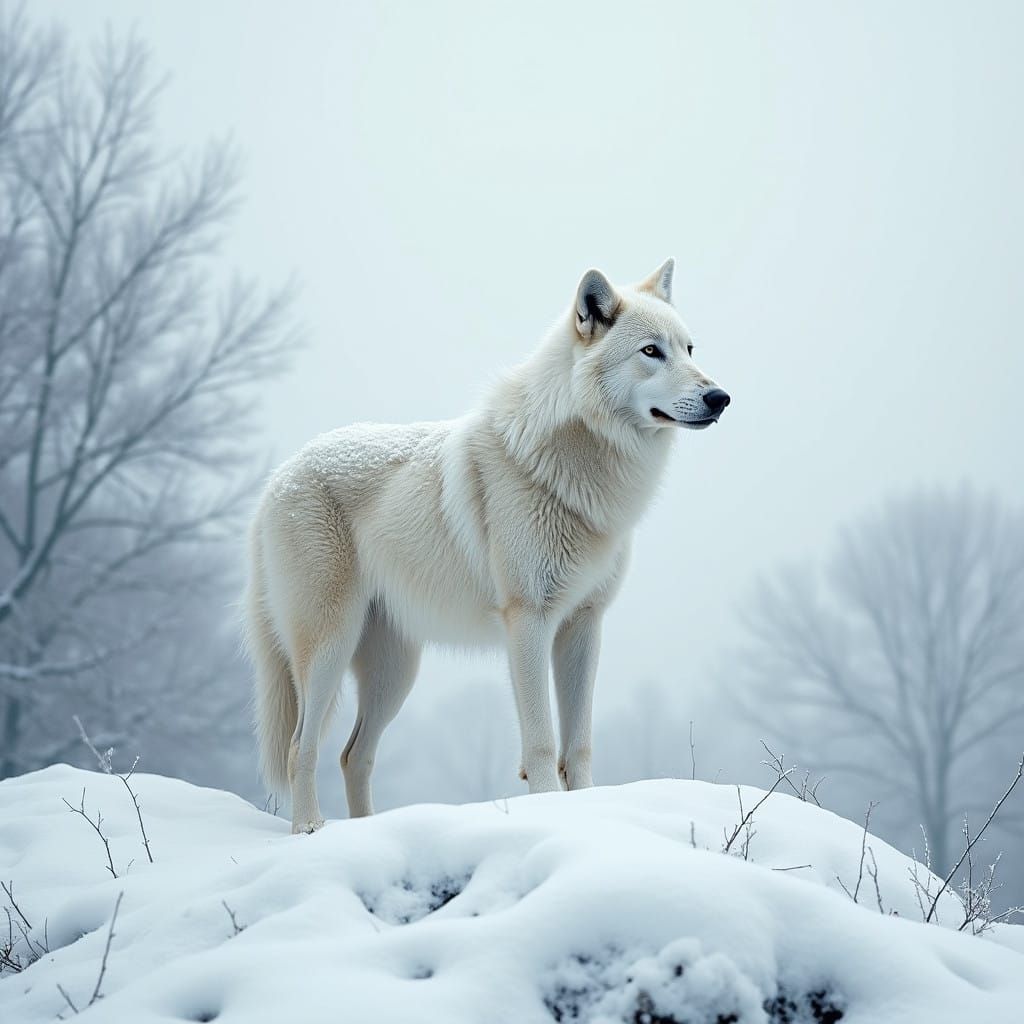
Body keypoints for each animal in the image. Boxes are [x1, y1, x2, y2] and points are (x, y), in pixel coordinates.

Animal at [245, 260, 730, 833]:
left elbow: (579, 743)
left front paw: (587, 812)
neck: (576, 469)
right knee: (301, 746)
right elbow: (542, 741)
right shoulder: (529, 620)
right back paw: (309, 829)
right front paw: (548, 810)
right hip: (329, 648)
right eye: (651, 351)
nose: (720, 398)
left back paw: (367, 830)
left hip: (394, 672)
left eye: (689, 349)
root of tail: (278, 478)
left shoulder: (583, 624)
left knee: (352, 755)